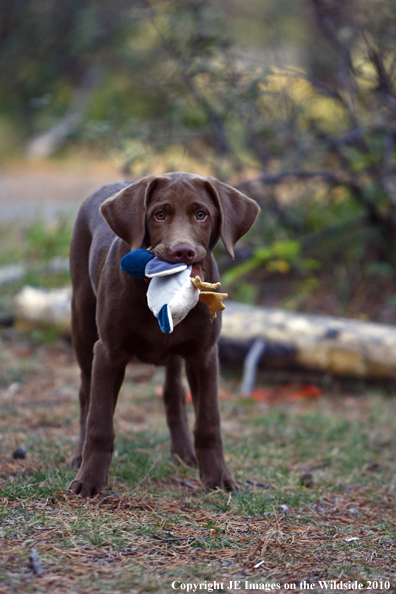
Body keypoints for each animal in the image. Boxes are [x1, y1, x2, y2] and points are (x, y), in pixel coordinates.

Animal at [68, 171, 260, 494]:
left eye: (201, 214)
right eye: (159, 215)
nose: (182, 251)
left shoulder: (204, 355)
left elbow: (208, 422)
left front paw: (218, 477)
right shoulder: (108, 353)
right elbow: (100, 422)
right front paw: (90, 479)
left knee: (173, 391)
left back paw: (183, 452)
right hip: (82, 322)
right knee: (85, 391)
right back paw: (80, 455)